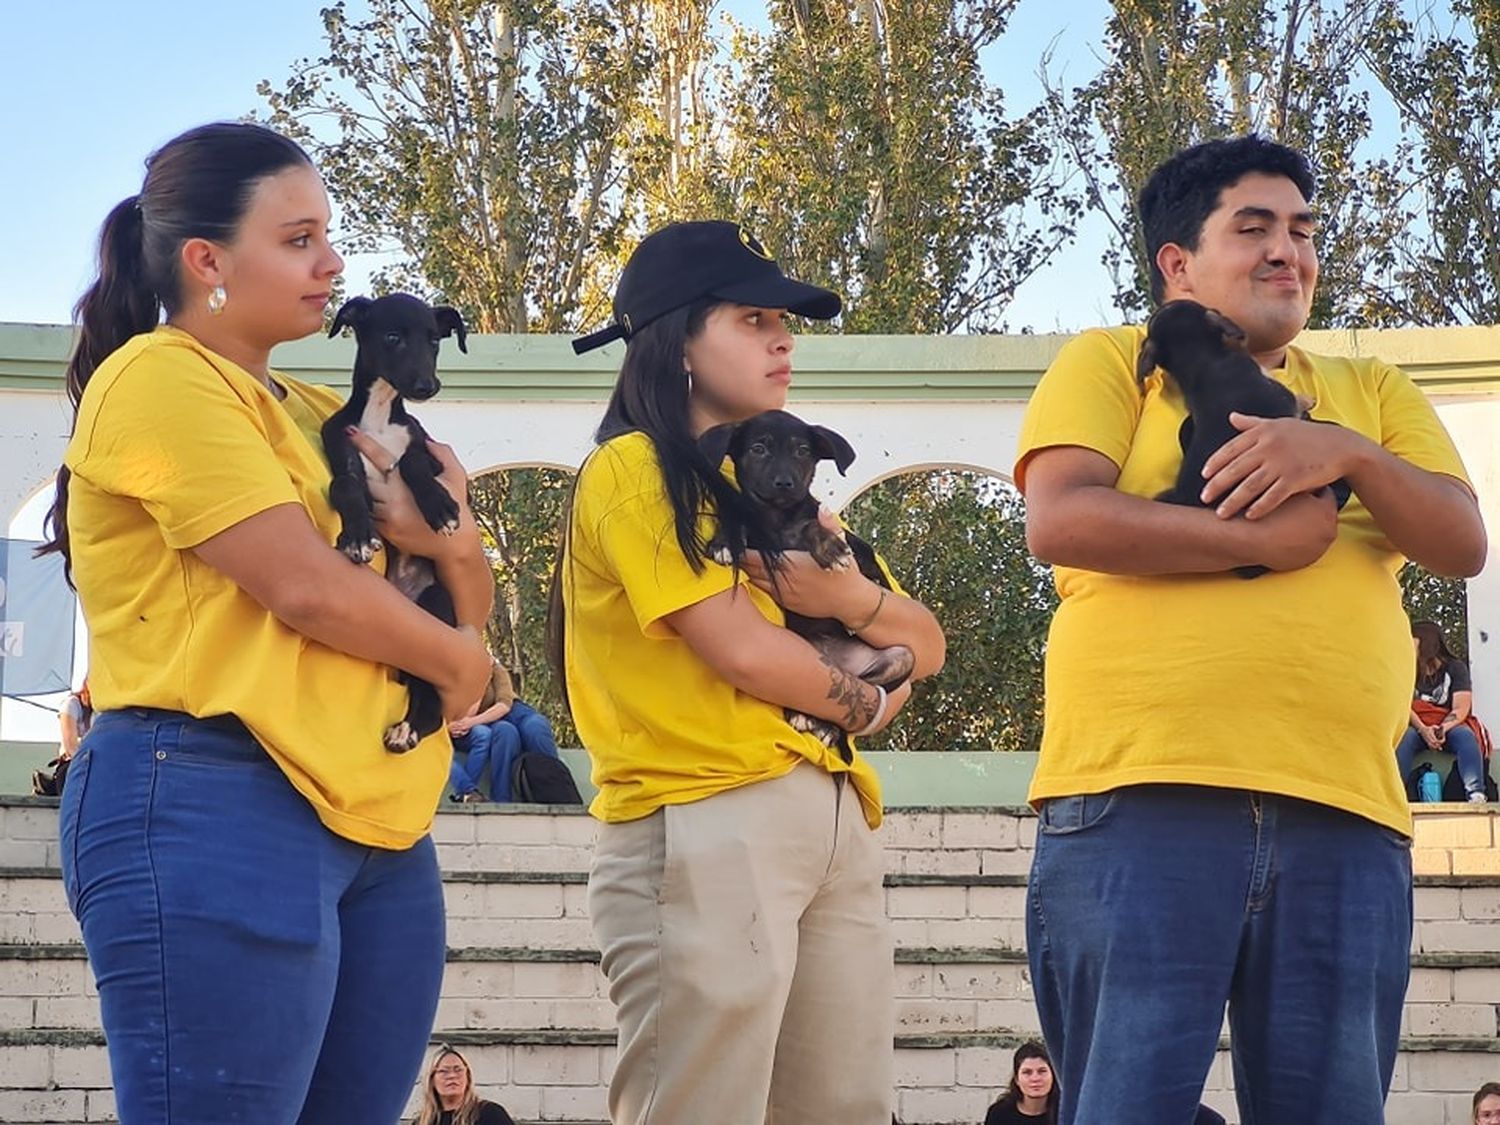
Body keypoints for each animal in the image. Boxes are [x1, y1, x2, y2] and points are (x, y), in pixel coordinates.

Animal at [324, 292, 465, 750]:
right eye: (392, 337)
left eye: (435, 341)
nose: (427, 386)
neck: (381, 415)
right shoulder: (343, 456)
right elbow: (344, 487)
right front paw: (357, 538)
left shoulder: (429, 451)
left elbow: (412, 463)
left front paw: (441, 509)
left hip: (436, 604)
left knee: (434, 702)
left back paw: (410, 729)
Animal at [699, 411, 912, 759]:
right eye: (758, 449)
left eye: (802, 451)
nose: (785, 483)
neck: (776, 518)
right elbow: (735, 518)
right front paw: (725, 541)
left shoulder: (852, 548)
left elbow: (813, 525)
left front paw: (831, 548)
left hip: (899, 659)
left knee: (853, 703)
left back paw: (824, 725)